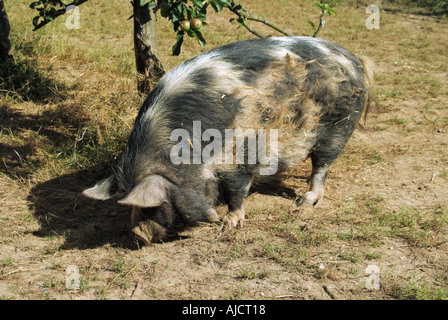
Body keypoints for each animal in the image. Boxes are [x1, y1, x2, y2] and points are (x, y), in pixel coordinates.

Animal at [82, 35, 372, 245]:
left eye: (160, 202)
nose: (137, 234)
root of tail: (355, 60)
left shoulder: (240, 155)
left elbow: (236, 191)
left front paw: (229, 224)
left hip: (339, 125)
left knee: (322, 165)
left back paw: (303, 203)